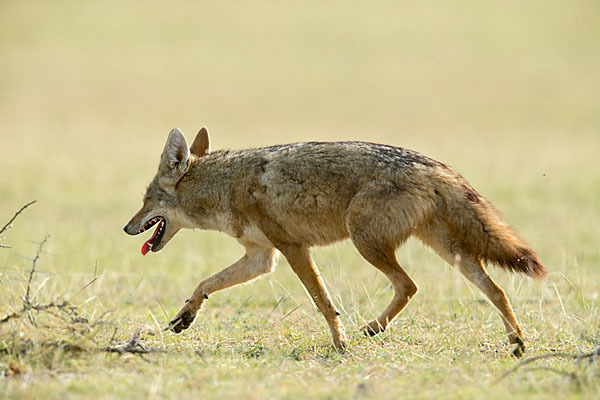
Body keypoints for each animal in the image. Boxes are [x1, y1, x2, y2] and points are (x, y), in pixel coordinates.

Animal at [124, 128, 548, 356]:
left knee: (410, 284)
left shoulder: (292, 249)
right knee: (492, 290)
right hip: (449, 253)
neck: (226, 187)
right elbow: (205, 283)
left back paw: (373, 329)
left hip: (367, 242)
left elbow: (325, 303)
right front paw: (186, 316)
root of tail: (434, 165)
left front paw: (340, 345)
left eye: (146, 199)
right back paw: (516, 343)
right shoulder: (263, 257)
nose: (126, 228)